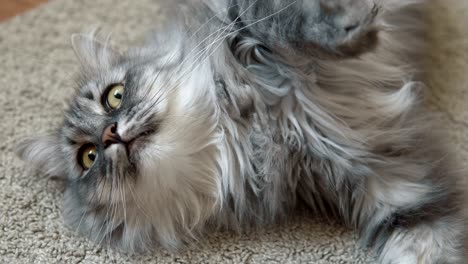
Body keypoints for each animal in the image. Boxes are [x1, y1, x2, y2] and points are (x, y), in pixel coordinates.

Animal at [16, 0, 466, 262]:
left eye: (114, 96)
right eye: (88, 156)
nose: (111, 134)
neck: (245, 129)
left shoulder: (247, 20)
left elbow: (294, 23)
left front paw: (354, 26)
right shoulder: (387, 184)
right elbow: (423, 245)